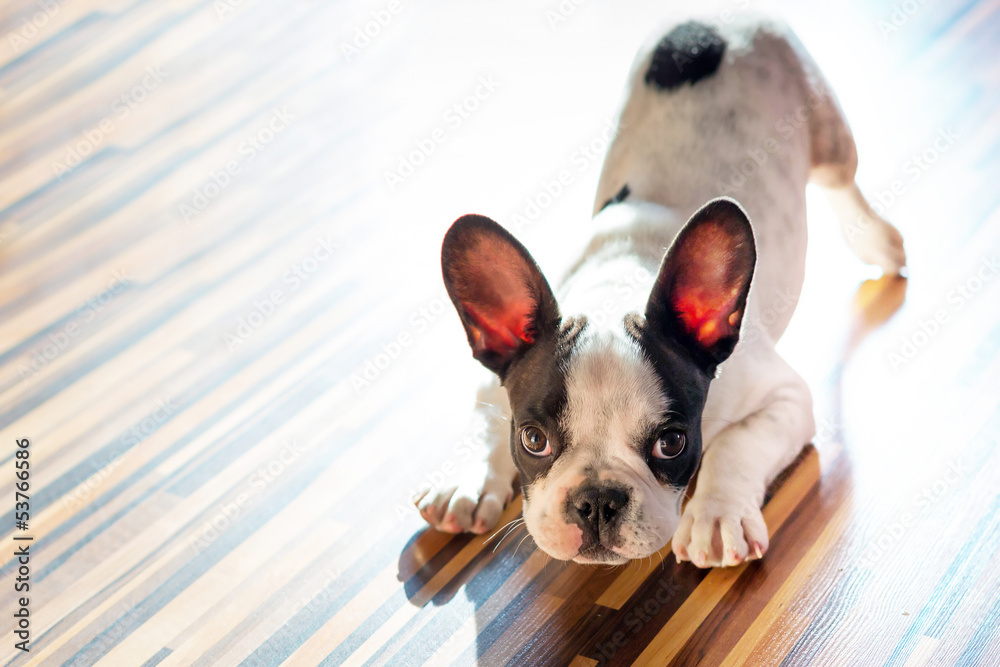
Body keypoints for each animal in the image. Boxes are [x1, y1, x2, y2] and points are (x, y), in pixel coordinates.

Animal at [414, 15, 908, 568]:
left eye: (672, 443)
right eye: (533, 439)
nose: (597, 500)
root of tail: (718, 19)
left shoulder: (785, 397)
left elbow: (735, 444)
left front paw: (717, 515)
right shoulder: (493, 373)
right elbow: (484, 415)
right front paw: (469, 480)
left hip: (826, 127)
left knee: (844, 182)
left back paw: (879, 240)